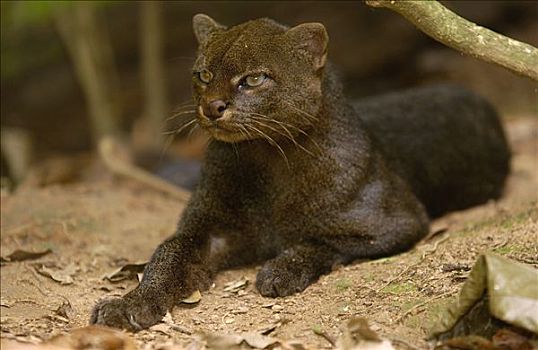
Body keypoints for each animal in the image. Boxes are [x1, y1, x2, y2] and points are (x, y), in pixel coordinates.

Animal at [90, 14, 508, 330]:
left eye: (253, 79)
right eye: (204, 75)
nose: (212, 107)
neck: (266, 163)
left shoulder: (397, 220)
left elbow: (323, 240)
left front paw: (279, 272)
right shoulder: (209, 229)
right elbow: (168, 252)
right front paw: (130, 304)